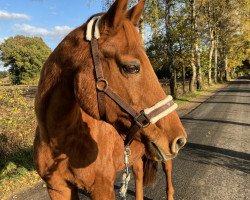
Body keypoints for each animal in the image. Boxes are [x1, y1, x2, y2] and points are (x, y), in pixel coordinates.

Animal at [33, 0, 187, 199]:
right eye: (131, 67)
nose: (180, 139)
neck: (59, 142)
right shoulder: (58, 189)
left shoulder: (102, 189)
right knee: (138, 176)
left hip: (164, 159)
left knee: (168, 182)